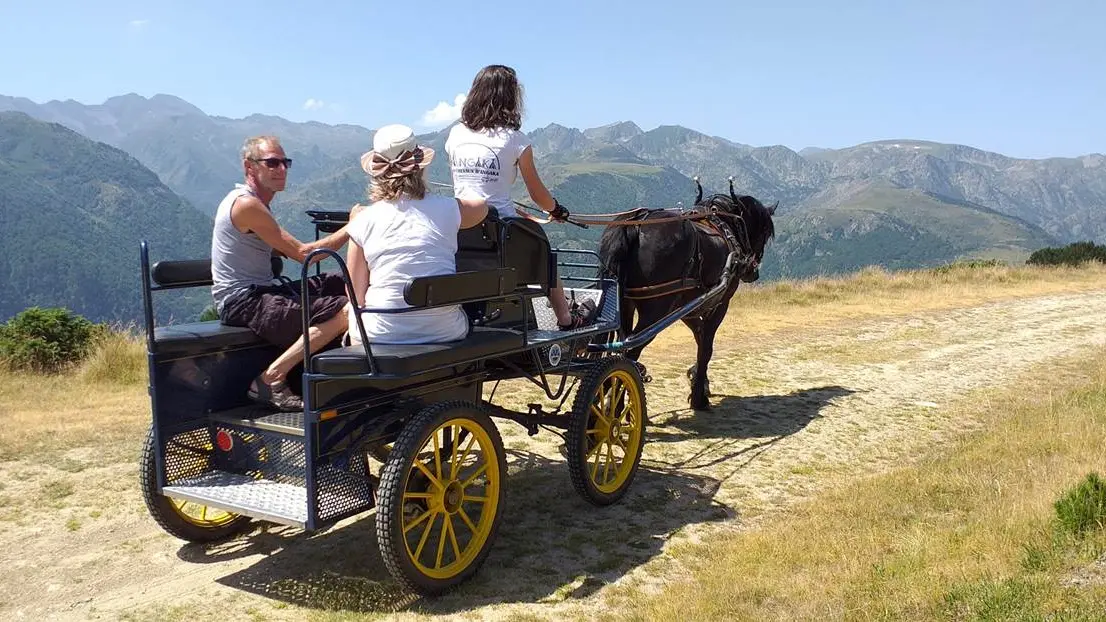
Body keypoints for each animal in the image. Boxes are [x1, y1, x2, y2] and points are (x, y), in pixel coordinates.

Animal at [597, 177, 778, 409]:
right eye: (764, 233)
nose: (752, 272)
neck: (725, 227)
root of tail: (636, 224)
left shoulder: (688, 308)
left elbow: (700, 339)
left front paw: (699, 381)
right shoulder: (719, 304)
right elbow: (707, 346)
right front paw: (699, 395)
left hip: (626, 304)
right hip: (656, 311)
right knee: (629, 353)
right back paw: (616, 406)